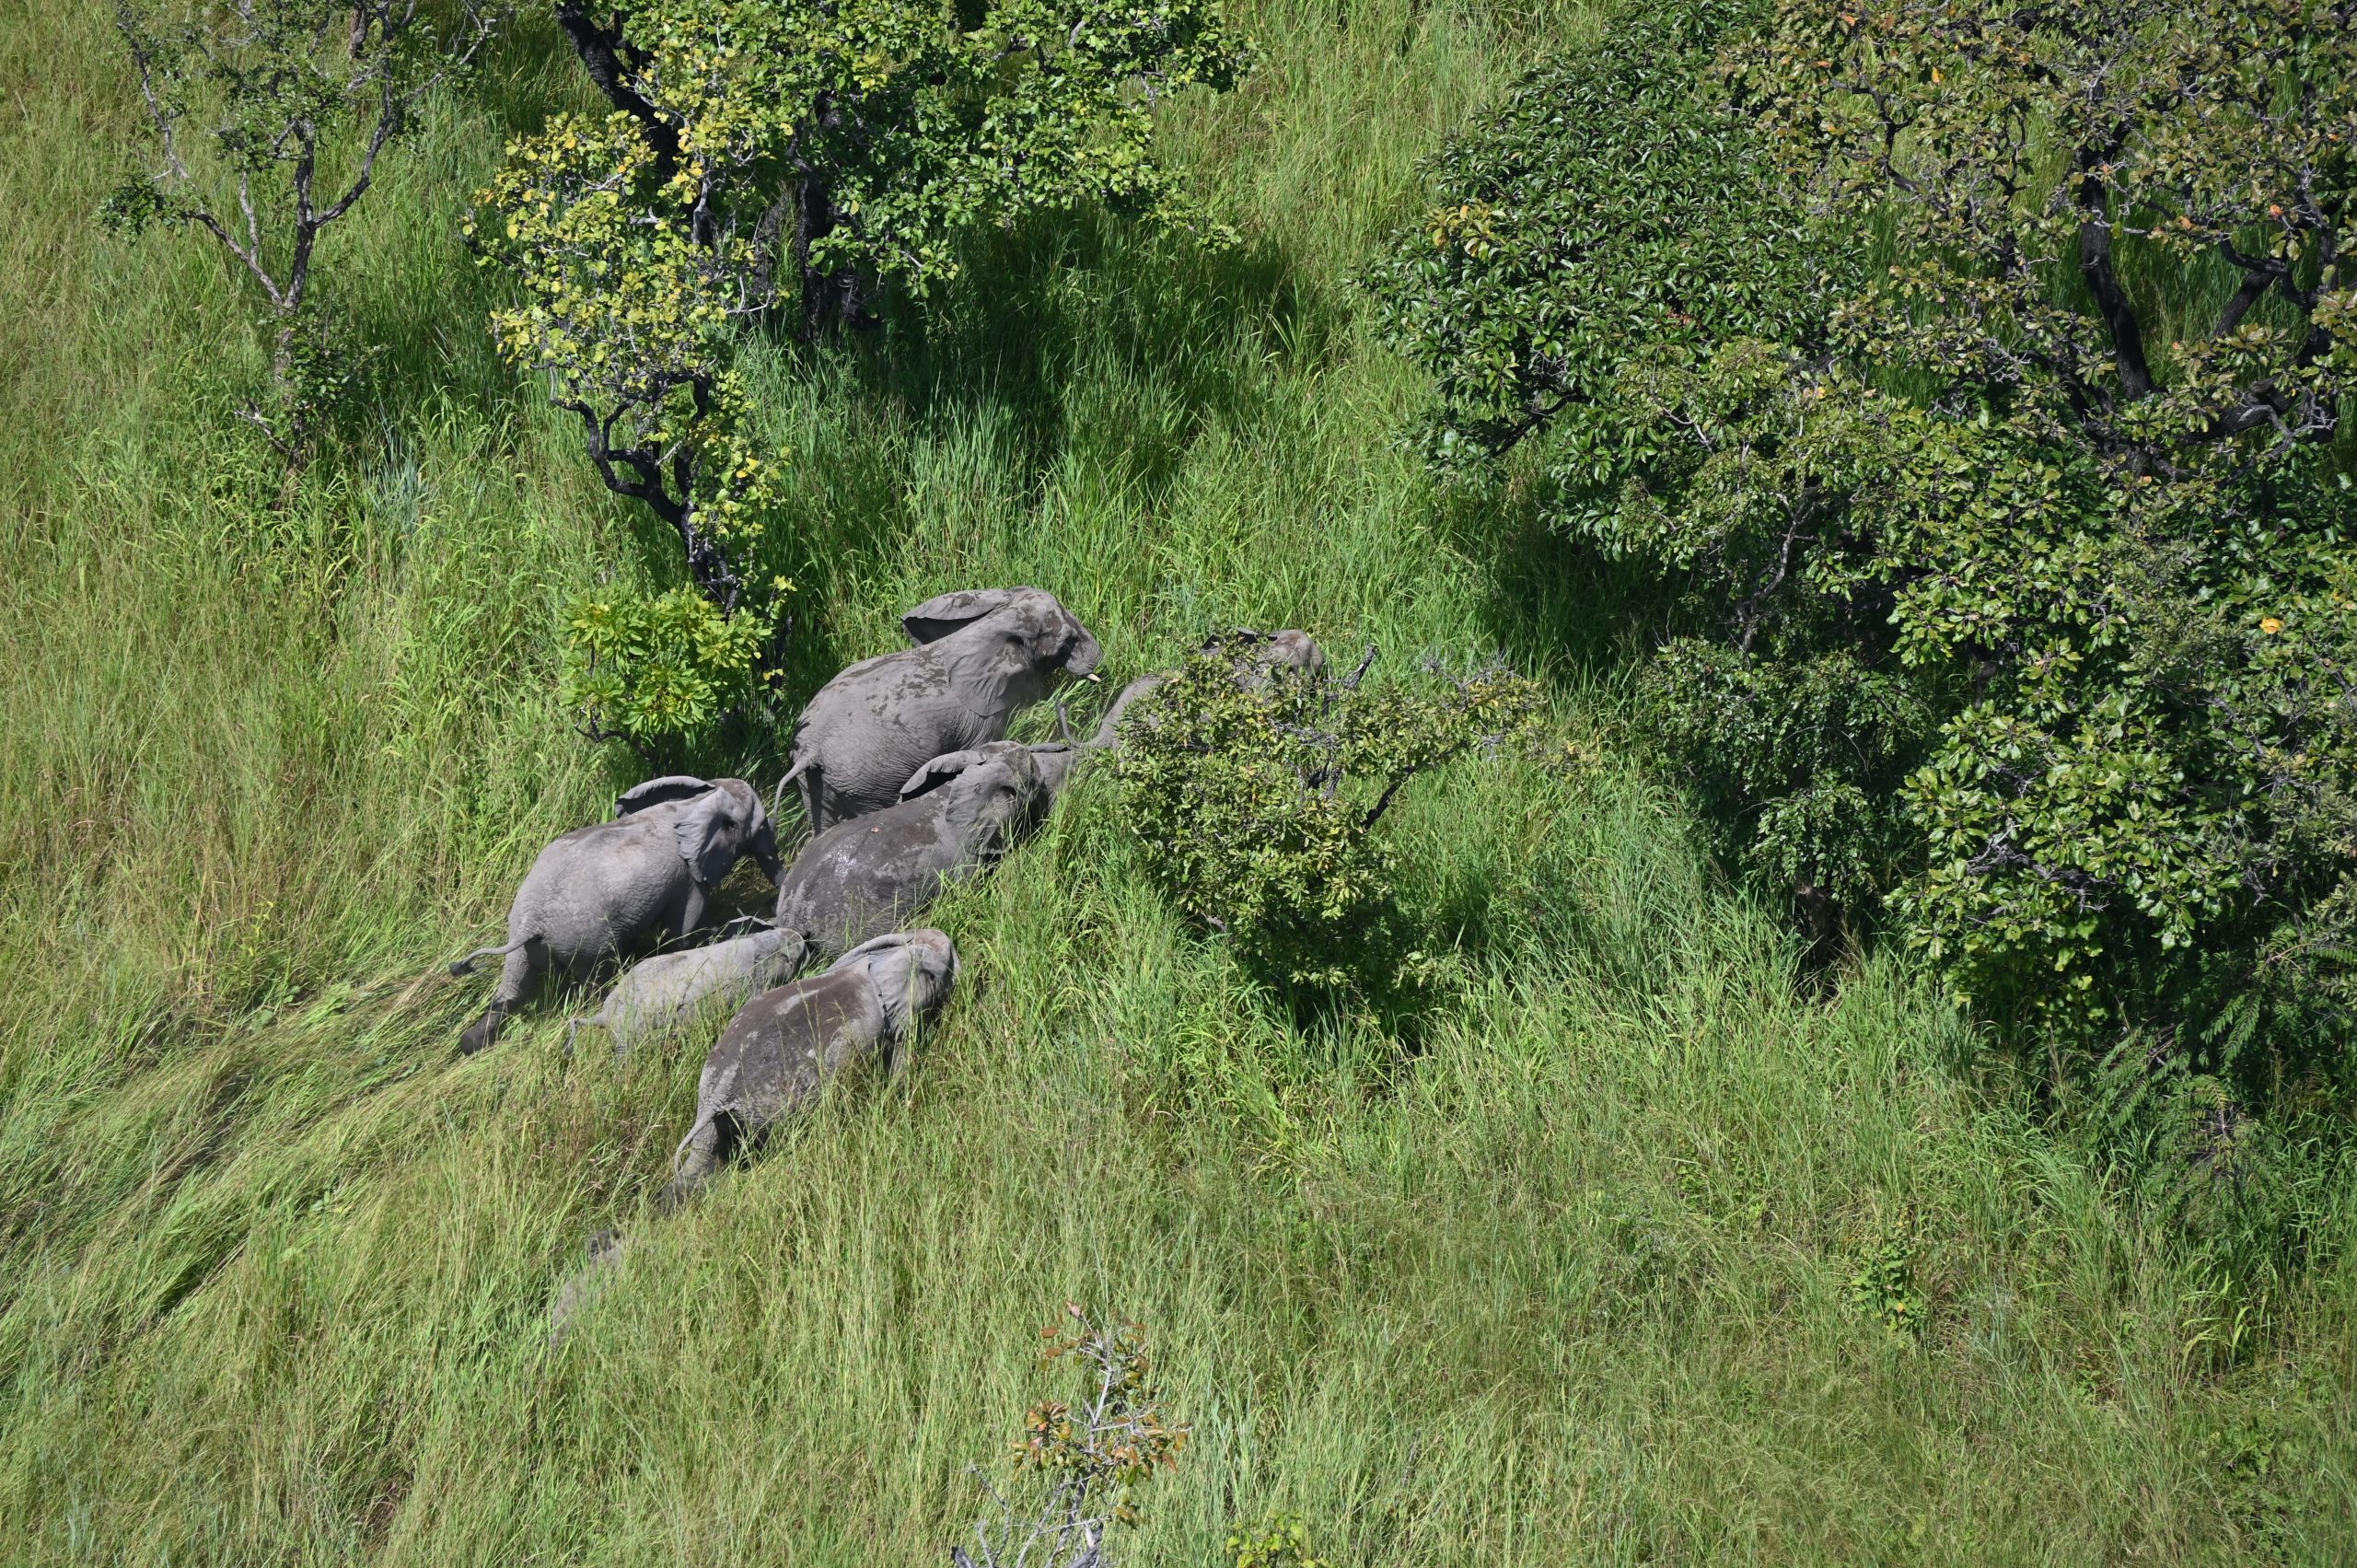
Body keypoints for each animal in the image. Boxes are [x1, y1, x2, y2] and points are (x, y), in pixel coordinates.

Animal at [450, 776, 783, 1055]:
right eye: (759, 827)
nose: (772, 905)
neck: (703, 798)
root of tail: (532, 921)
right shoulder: (687, 879)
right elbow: (687, 932)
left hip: (526, 937)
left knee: (513, 988)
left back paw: (471, 1044)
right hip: (588, 941)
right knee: (597, 981)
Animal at [564, 923, 809, 1058]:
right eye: (788, 956)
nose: (802, 937)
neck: (755, 946)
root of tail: (604, 1015)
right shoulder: (750, 985)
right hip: (629, 1033)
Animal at [780, 587, 1103, 834]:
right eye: (1066, 642)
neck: (995, 623)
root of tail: (811, 749)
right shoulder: (980, 718)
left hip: (816, 782)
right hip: (869, 781)